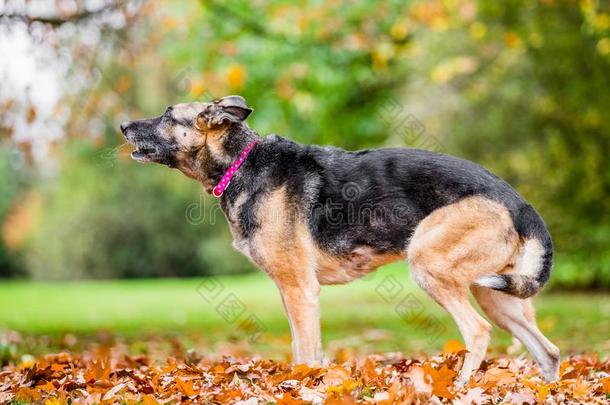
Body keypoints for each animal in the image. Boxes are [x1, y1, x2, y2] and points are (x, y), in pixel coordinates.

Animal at [121, 94, 560, 386]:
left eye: (167, 115)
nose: (122, 125)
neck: (242, 163)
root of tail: (518, 202)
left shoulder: (301, 291)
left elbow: (306, 354)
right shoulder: (293, 293)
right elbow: (305, 349)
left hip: (431, 266)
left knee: (478, 333)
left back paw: (459, 388)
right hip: (498, 294)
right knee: (549, 352)